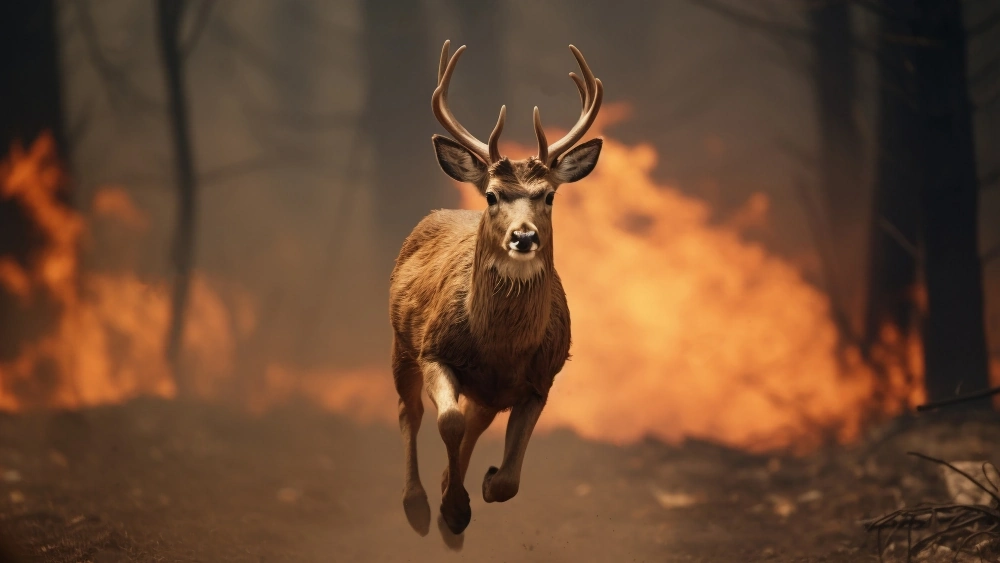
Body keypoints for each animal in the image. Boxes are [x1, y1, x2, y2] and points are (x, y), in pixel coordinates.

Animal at [389, 40, 603, 537]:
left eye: (549, 195)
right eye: (491, 195)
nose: (523, 237)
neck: (499, 348)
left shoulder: (540, 381)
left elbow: (508, 480)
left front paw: (478, 488)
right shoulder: (434, 349)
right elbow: (447, 421)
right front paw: (453, 508)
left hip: (486, 392)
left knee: (475, 421)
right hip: (401, 344)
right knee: (412, 411)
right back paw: (418, 504)